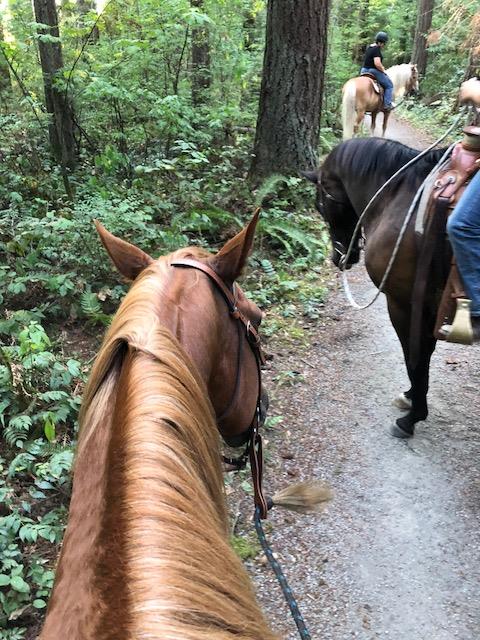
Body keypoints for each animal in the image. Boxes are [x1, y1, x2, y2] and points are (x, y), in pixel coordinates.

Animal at [304, 139, 450, 440]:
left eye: (320, 205)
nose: (339, 258)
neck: (400, 198)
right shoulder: (428, 307)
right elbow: (424, 354)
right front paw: (411, 396)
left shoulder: (403, 304)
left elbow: (415, 358)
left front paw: (412, 418)